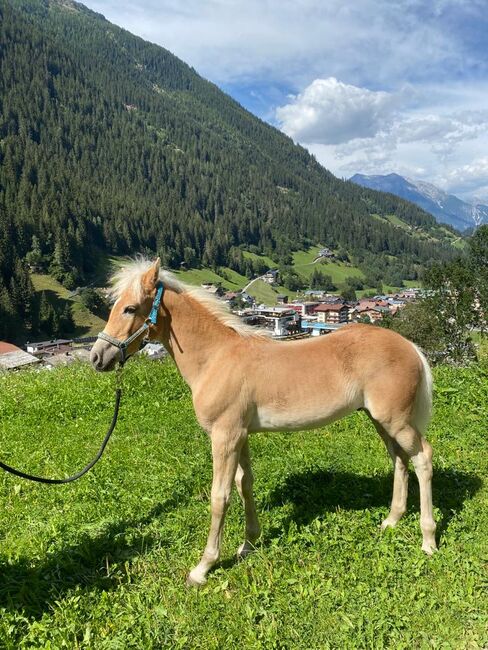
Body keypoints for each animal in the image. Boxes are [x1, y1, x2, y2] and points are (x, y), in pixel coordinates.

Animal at [91, 256, 438, 584]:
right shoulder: (241, 435)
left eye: (130, 308)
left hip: (396, 421)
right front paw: (248, 544)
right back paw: (391, 520)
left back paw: (428, 540)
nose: (98, 357)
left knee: (422, 457)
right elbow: (245, 484)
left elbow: (220, 496)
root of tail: (409, 346)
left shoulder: (225, 436)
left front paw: (203, 567)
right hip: (381, 420)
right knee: (399, 459)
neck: (216, 359)